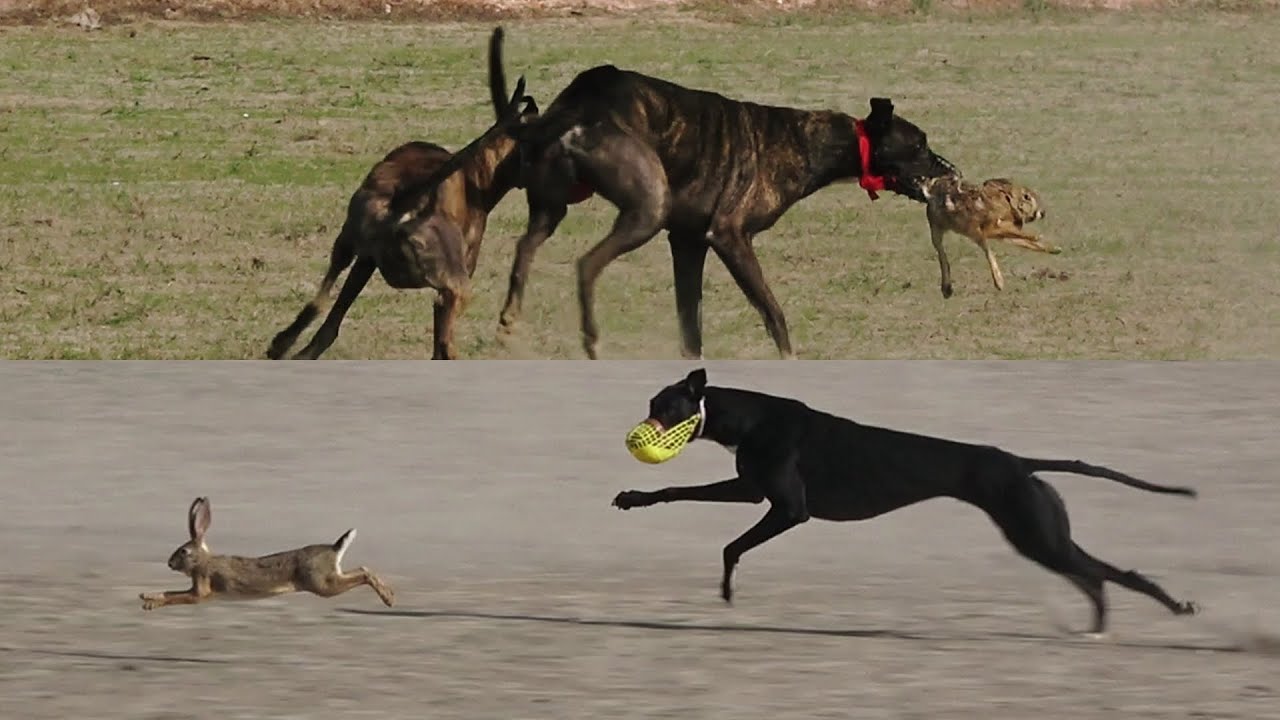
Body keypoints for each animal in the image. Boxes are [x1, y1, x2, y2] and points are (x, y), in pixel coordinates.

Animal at [139, 497, 395, 610]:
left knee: (363, 573)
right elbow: (170, 591)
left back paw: (389, 599)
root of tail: (334, 548)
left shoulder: (201, 590)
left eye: (183, 551)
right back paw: (390, 594)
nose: (169, 563)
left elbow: (178, 597)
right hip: (330, 579)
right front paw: (145, 596)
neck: (203, 560)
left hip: (323, 585)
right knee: (362, 569)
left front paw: (150, 605)